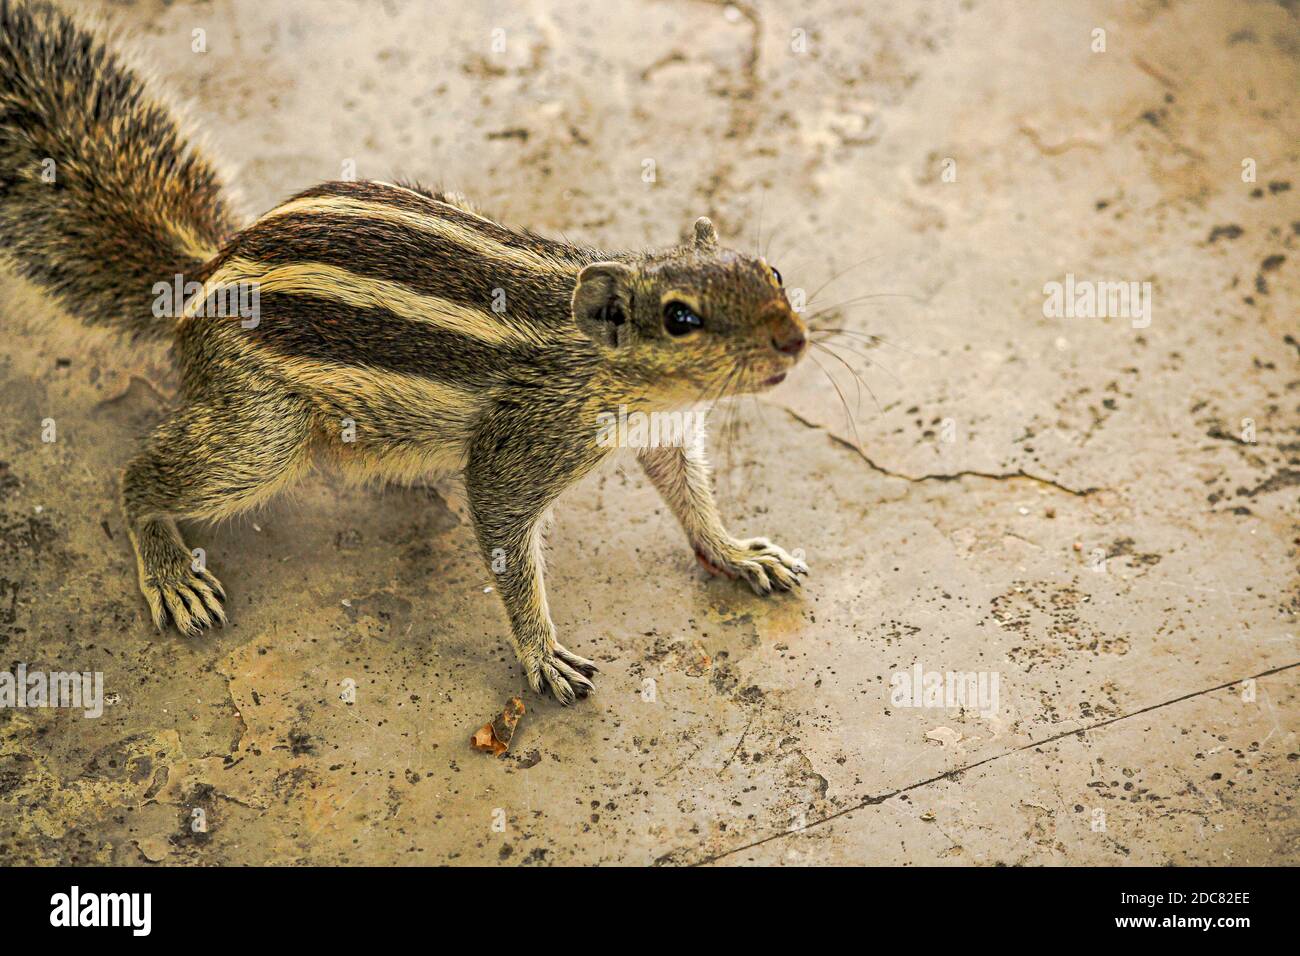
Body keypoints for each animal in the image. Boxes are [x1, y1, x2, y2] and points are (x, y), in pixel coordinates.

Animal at [0, 0, 806, 702]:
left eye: (772, 270)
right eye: (680, 318)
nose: (794, 341)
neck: (608, 373)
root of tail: (199, 277)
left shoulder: (667, 430)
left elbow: (690, 498)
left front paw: (739, 552)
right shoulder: (519, 446)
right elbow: (506, 537)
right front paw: (542, 653)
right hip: (262, 432)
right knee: (141, 477)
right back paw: (170, 570)